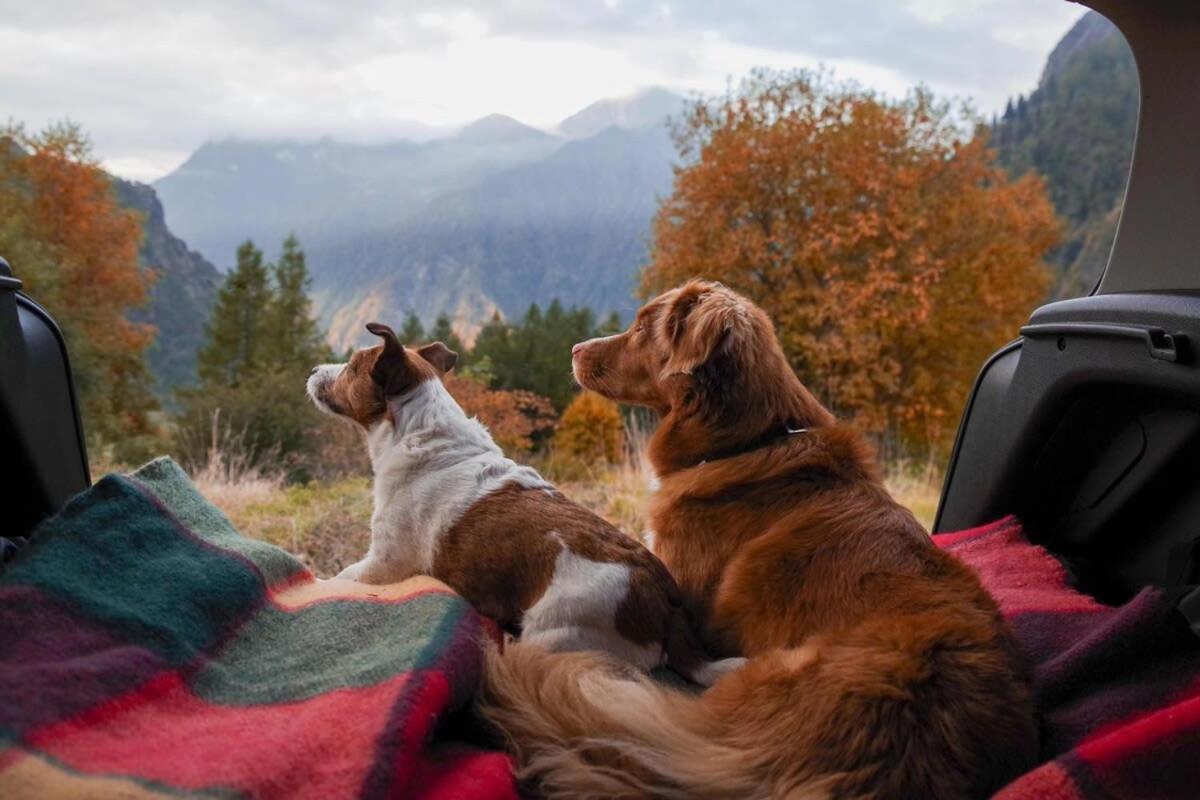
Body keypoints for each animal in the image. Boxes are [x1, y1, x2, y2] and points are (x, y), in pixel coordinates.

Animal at [309, 321, 739, 686]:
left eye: (351, 367)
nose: (313, 369)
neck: (424, 435)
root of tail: (665, 602)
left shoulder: (383, 564)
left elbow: (337, 579)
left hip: (550, 634)